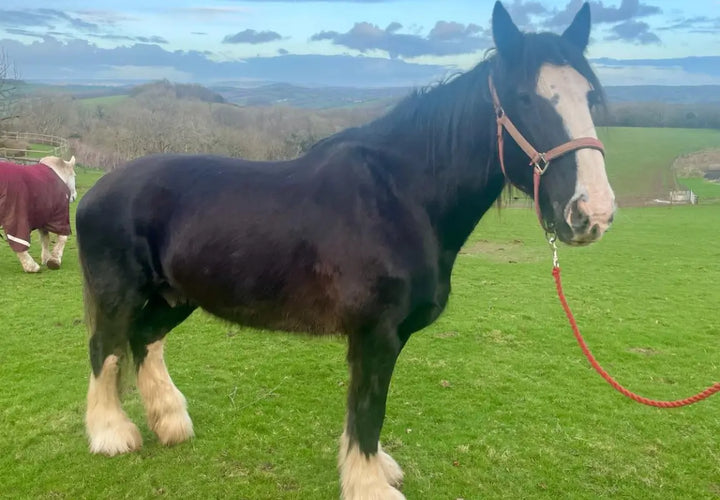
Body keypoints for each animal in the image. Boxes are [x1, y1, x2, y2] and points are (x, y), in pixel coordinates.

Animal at [77, 2, 615, 498]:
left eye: (590, 96)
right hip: (120, 295)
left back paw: (170, 422)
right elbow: (368, 410)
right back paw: (112, 435)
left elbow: (365, 412)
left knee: (145, 339)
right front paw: (369, 484)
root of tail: (97, 189)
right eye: (525, 98)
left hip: (175, 296)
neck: (400, 196)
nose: (593, 212)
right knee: (105, 349)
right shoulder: (376, 334)